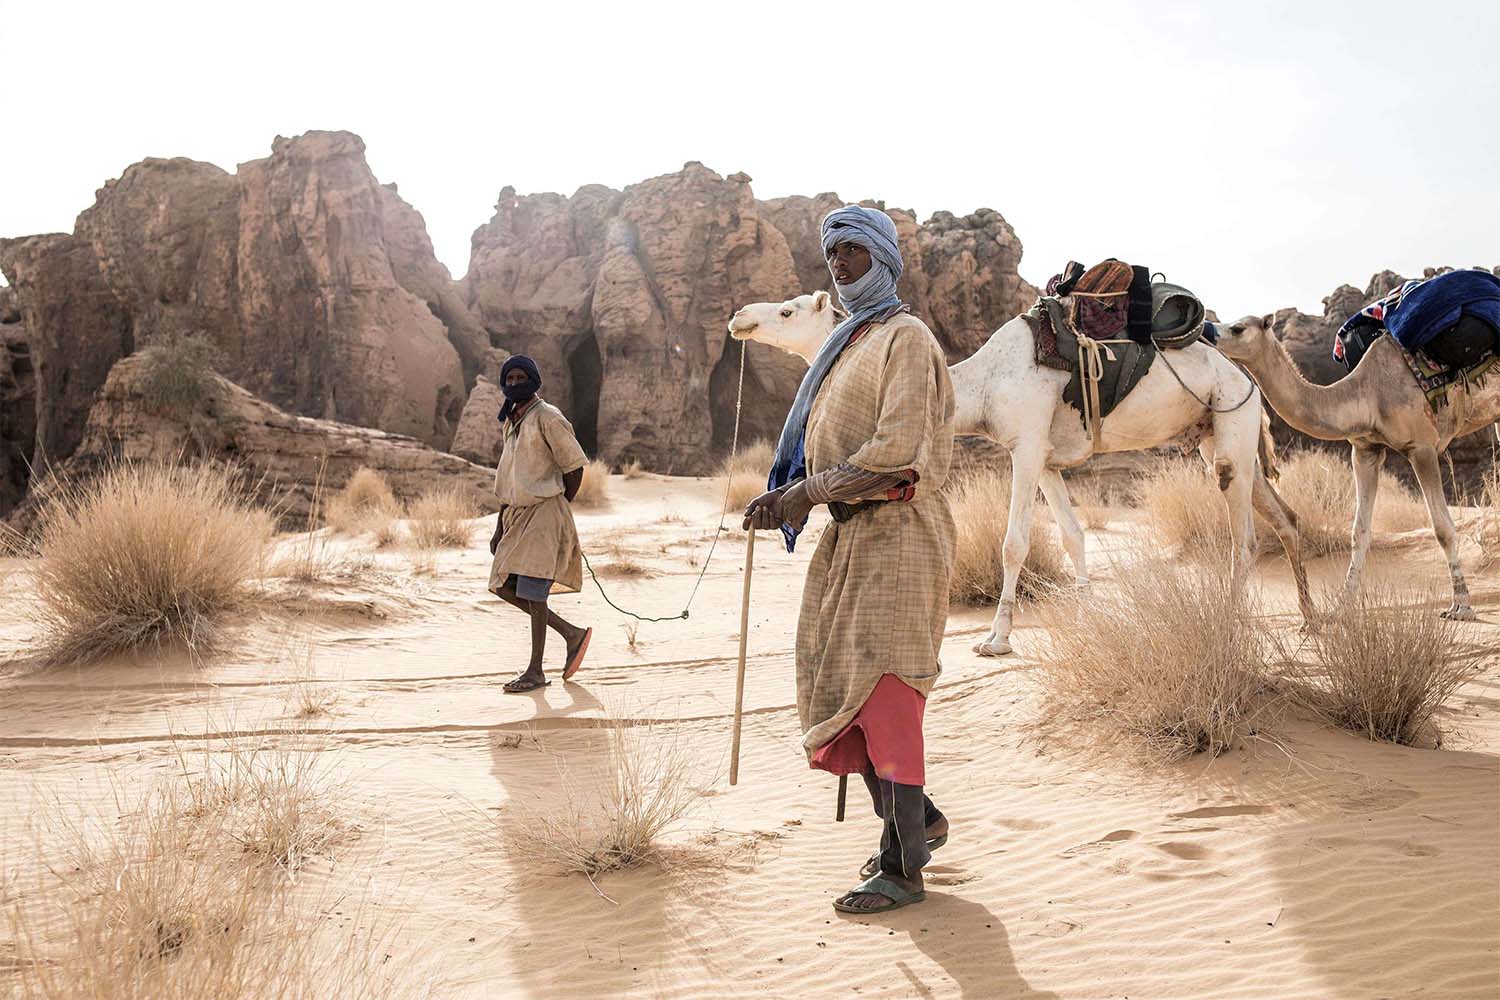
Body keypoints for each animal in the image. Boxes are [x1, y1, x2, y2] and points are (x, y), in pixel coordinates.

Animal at [729, 290, 1314, 656]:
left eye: (787, 311)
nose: (739, 317)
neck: (980, 383)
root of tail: (1247, 378)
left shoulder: (1026, 447)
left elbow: (1015, 544)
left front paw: (996, 639)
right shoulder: (1048, 458)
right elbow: (1074, 535)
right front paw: (1087, 613)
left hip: (1231, 428)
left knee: (1244, 537)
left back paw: (1233, 622)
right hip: (1219, 435)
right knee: (1284, 518)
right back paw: (1310, 621)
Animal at [1218, 319, 1500, 617]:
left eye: (1238, 328)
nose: (1210, 331)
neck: (1369, 394)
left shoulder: (1421, 447)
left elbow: (1442, 529)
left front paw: (1461, 604)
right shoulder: (1365, 451)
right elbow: (1359, 532)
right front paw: (1342, 606)